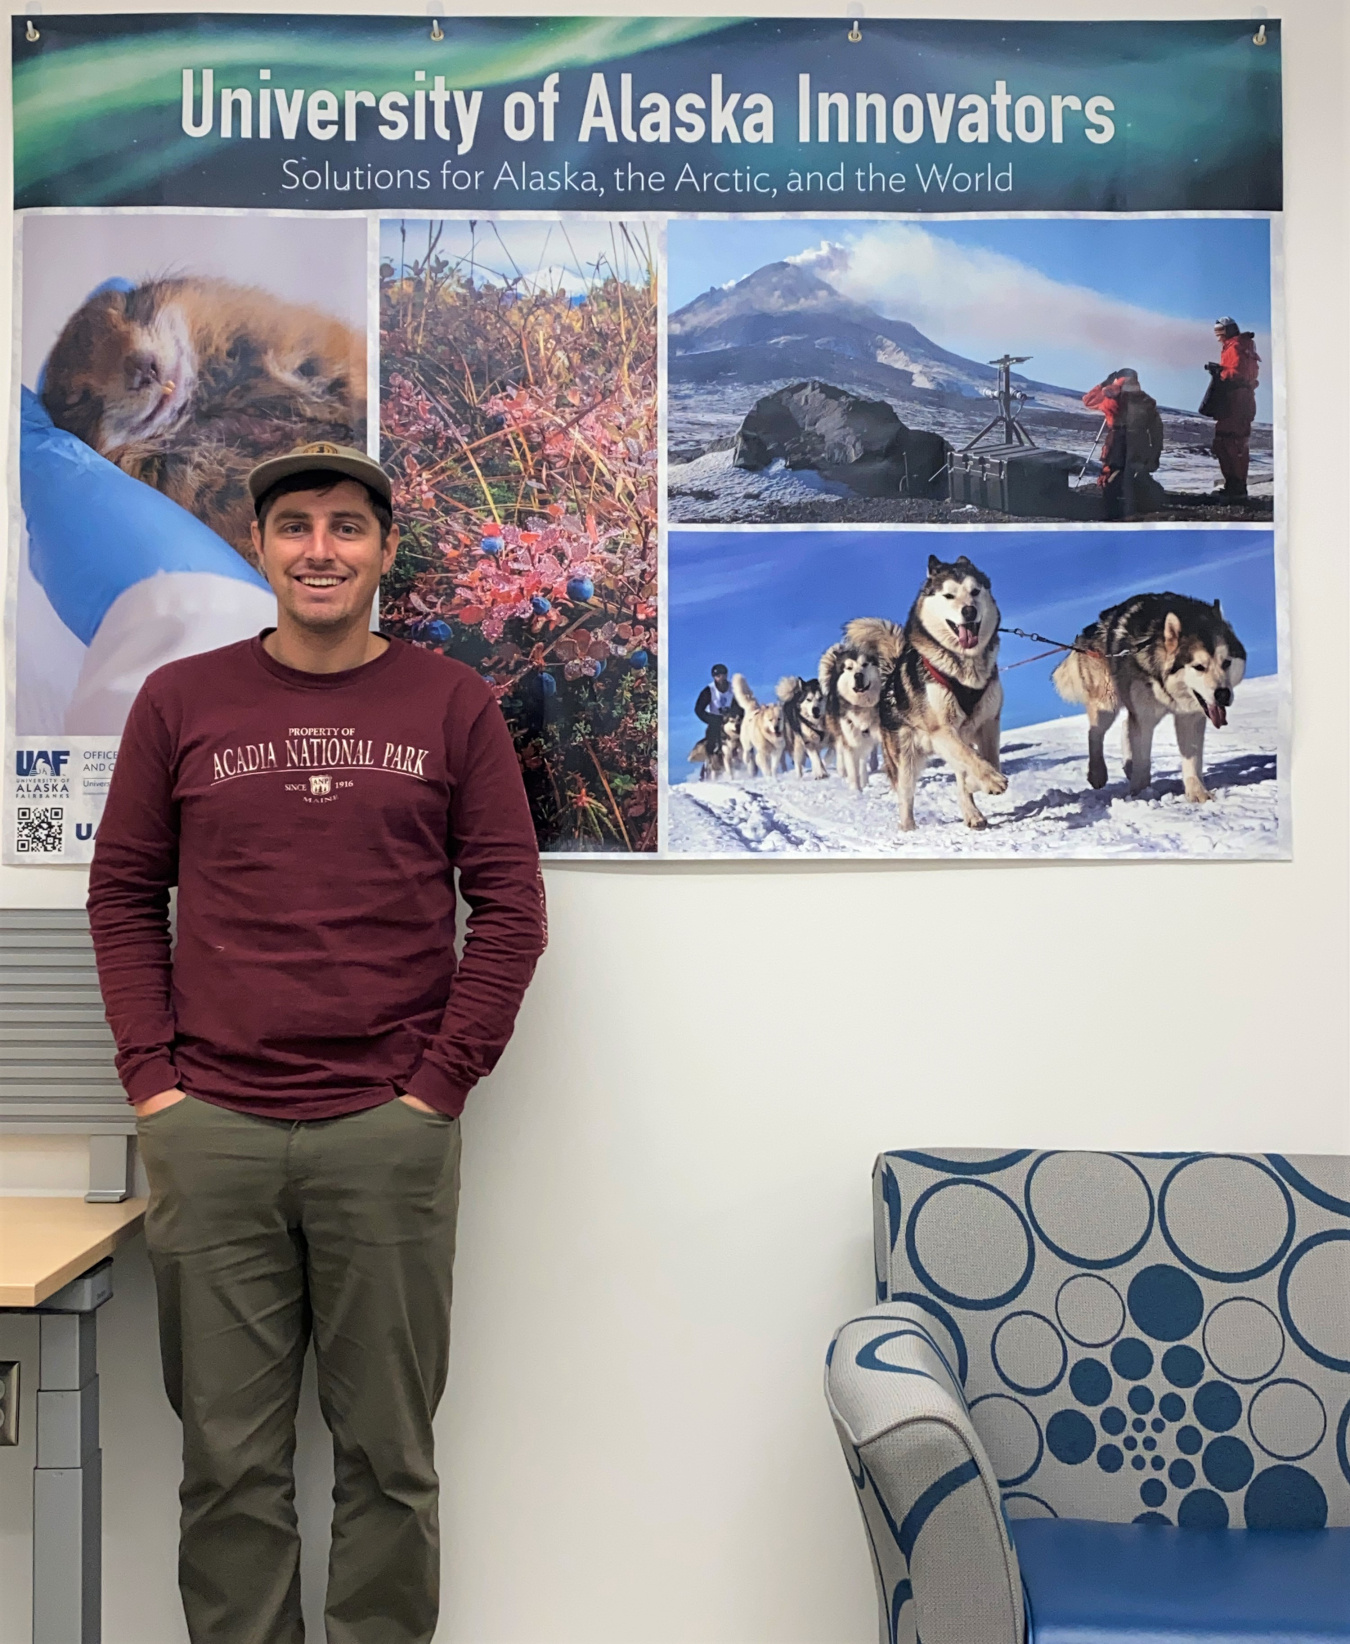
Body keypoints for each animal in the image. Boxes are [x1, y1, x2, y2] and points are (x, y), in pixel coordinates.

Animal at [815, 624, 887, 792]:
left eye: (865, 664)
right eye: (848, 668)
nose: (858, 675)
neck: (861, 705)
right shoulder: (850, 742)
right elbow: (852, 770)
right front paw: (856, 792)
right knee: (841, 752)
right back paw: (843, 771)